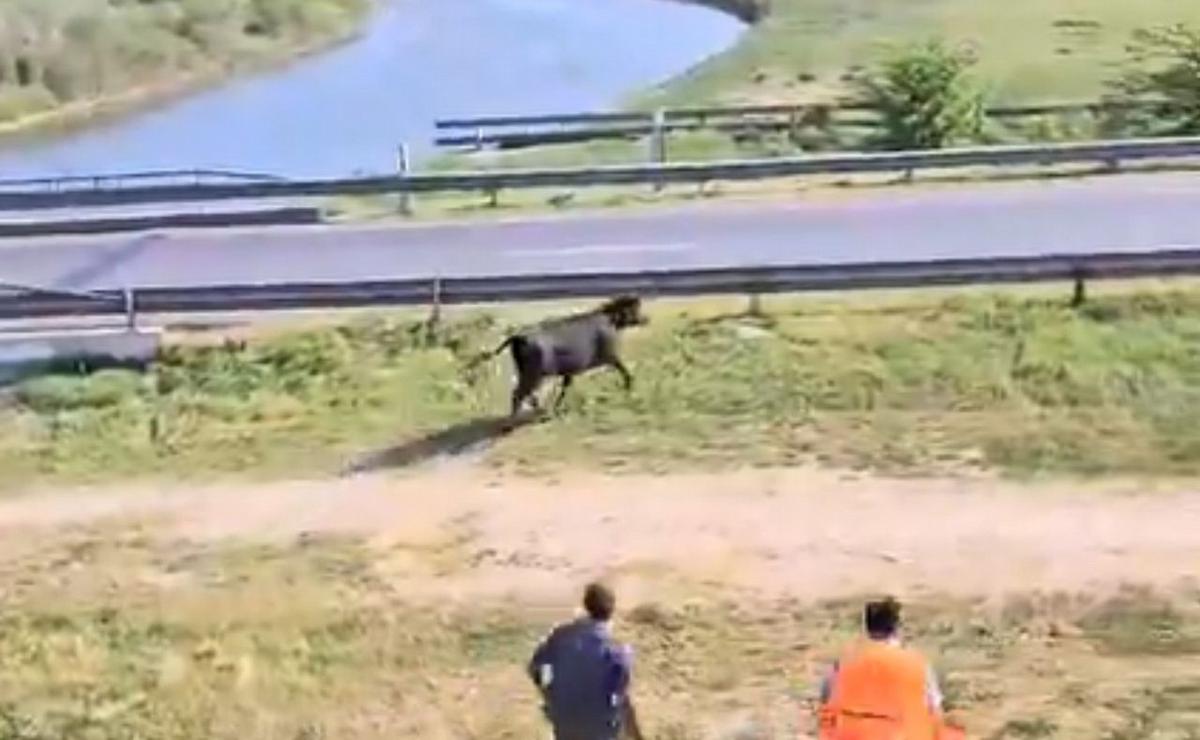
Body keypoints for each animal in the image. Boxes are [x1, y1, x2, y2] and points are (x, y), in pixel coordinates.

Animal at [475, 297, 648, 417]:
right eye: (635, 309)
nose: (646, 319)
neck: (611, 320)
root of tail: (519, 336)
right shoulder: (610, 356)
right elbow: (623, 369)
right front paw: (629, 385)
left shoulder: (569, 371)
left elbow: (565, 388)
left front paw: (559, 407)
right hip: (534, 374)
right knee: (518, 394)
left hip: (526, 372)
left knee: (524, 393)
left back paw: (539, 408)